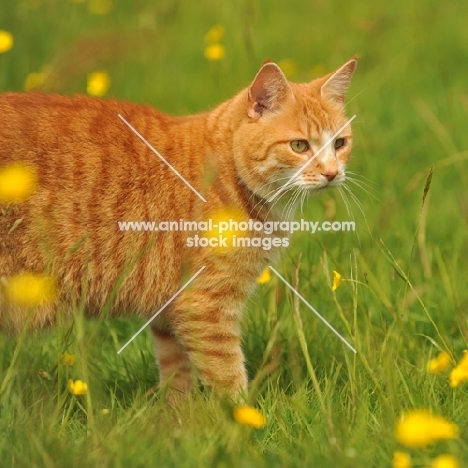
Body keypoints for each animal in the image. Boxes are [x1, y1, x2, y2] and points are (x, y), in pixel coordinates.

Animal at [0, 56, 356, 396]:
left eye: (339, 144)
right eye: (299, 146)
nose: (331, 173)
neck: (226, 173)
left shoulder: (169, 310)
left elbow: (177, 380)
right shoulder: (207, 306)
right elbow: (229, 380)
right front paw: (243, 416)